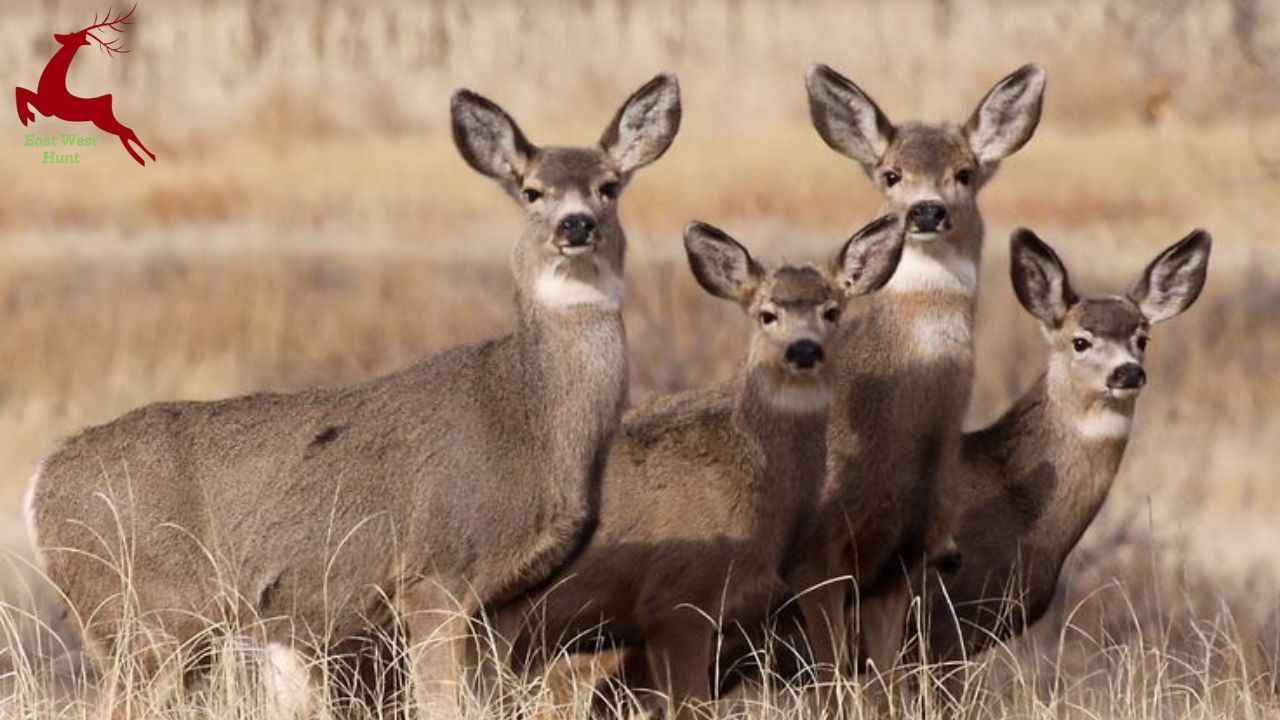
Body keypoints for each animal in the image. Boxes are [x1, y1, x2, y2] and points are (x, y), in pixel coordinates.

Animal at [15, 5, 156, 165]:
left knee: (127, 131)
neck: (54, 83)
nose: (56, 35)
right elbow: (20, 90)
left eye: (73, 35)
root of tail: (108, 99)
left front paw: (27, 117)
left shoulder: (47, 109)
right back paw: (144, 159)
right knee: (126, 131)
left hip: (102, 122)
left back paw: (145, 158)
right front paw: (29, 117)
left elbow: (21, 91)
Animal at [24, 74, 680, 717]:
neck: (527, 414)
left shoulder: (510, 599)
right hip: (145, 612)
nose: (577, 225)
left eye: (609, 186)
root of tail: (37, 487)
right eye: (532, 191)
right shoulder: (434, 574)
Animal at [798, 61, 1049, 681]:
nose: (927, 211)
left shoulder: (905, 560)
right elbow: (831, 677)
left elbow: (886, 677)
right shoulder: (817, 557)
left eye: (965, 172)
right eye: (891, 174)